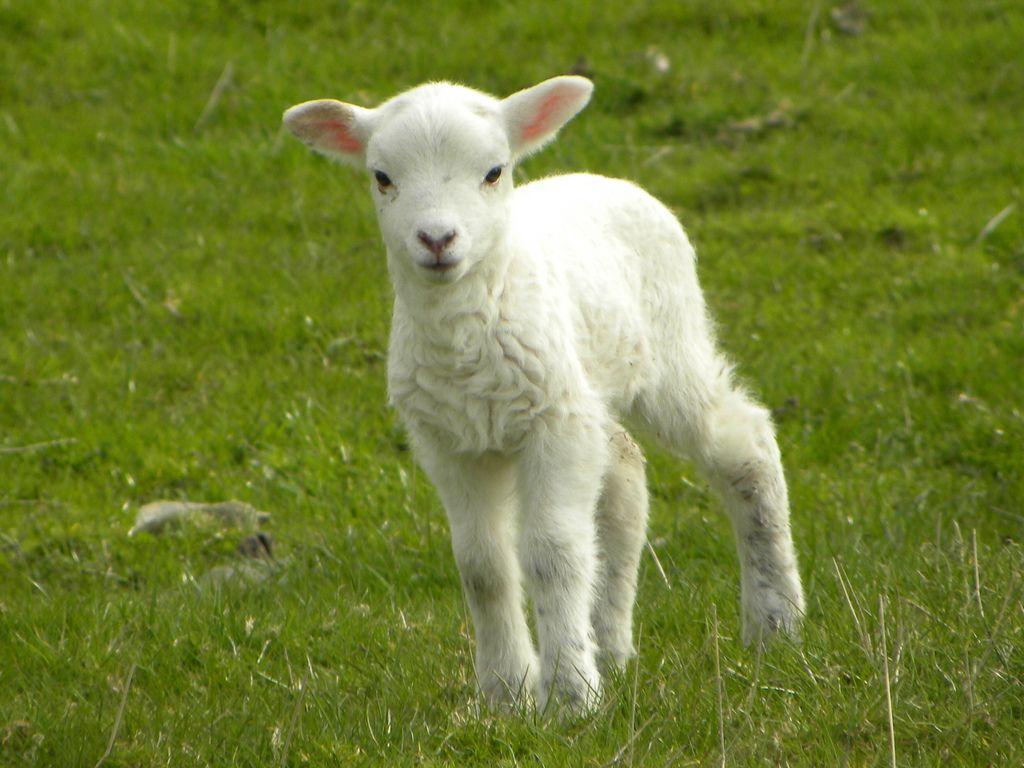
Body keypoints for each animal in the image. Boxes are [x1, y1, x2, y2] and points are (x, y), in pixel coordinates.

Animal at [282, 76, 805, 713]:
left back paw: (776, 622)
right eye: (381, 176)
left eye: (494, 171)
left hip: (666, 350)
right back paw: (611, 644)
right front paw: (507, 694)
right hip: (586, 384)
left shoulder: (553, 424)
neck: (464, 338)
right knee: (624, 472)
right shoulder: (448, 441)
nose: (437, 239)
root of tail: (603, 180)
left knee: (743, 443)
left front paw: (571, 697)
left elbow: (552, 555)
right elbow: (482, 565)